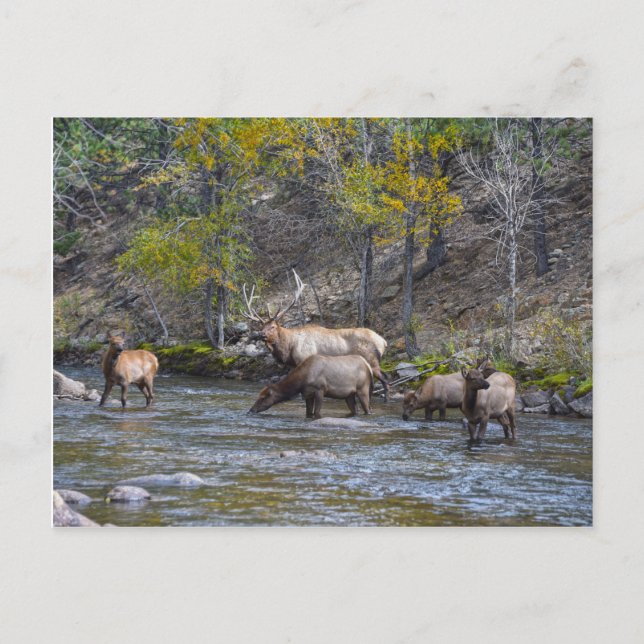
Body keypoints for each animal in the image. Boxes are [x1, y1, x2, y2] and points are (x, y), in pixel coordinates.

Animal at [242, 270, 389, 397]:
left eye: (272, 326)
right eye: (262, 326)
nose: (262, 335)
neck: (289, 347)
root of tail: (383, 342)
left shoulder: (304, 360)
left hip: (371, 359)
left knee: (385, 380)